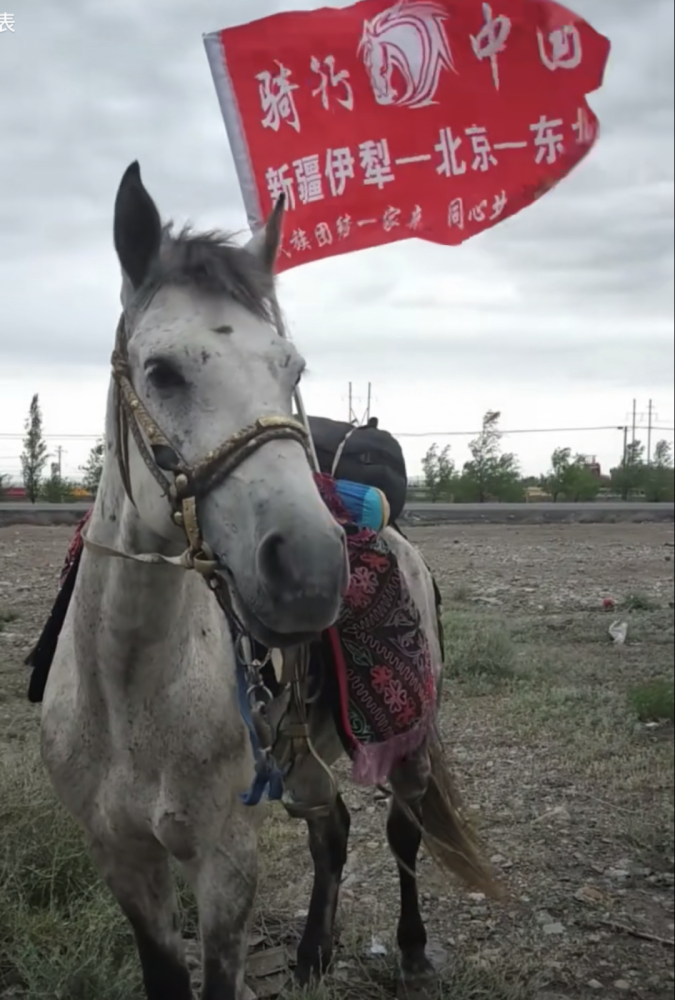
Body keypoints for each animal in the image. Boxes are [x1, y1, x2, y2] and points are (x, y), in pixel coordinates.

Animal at [41, 160, 496, 996]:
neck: (128, 695)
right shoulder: (123, 859)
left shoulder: (226, 865)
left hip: (409, 741)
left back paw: (411, 949)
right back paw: (313, 952)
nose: (310, 567)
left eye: (292, 368)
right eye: (161, 371)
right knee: (333, 829)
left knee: (402, 830)